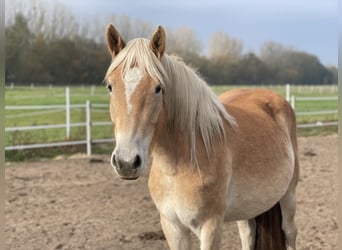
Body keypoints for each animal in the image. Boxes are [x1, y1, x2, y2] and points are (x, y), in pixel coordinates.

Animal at [104, 23, 300, 250]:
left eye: (158, 88)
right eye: (110, 86)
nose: (126, 162)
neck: (177, 166)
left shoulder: (211, 225)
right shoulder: (172, 226)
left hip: (288, 196)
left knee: (289, 232)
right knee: (248, 233)